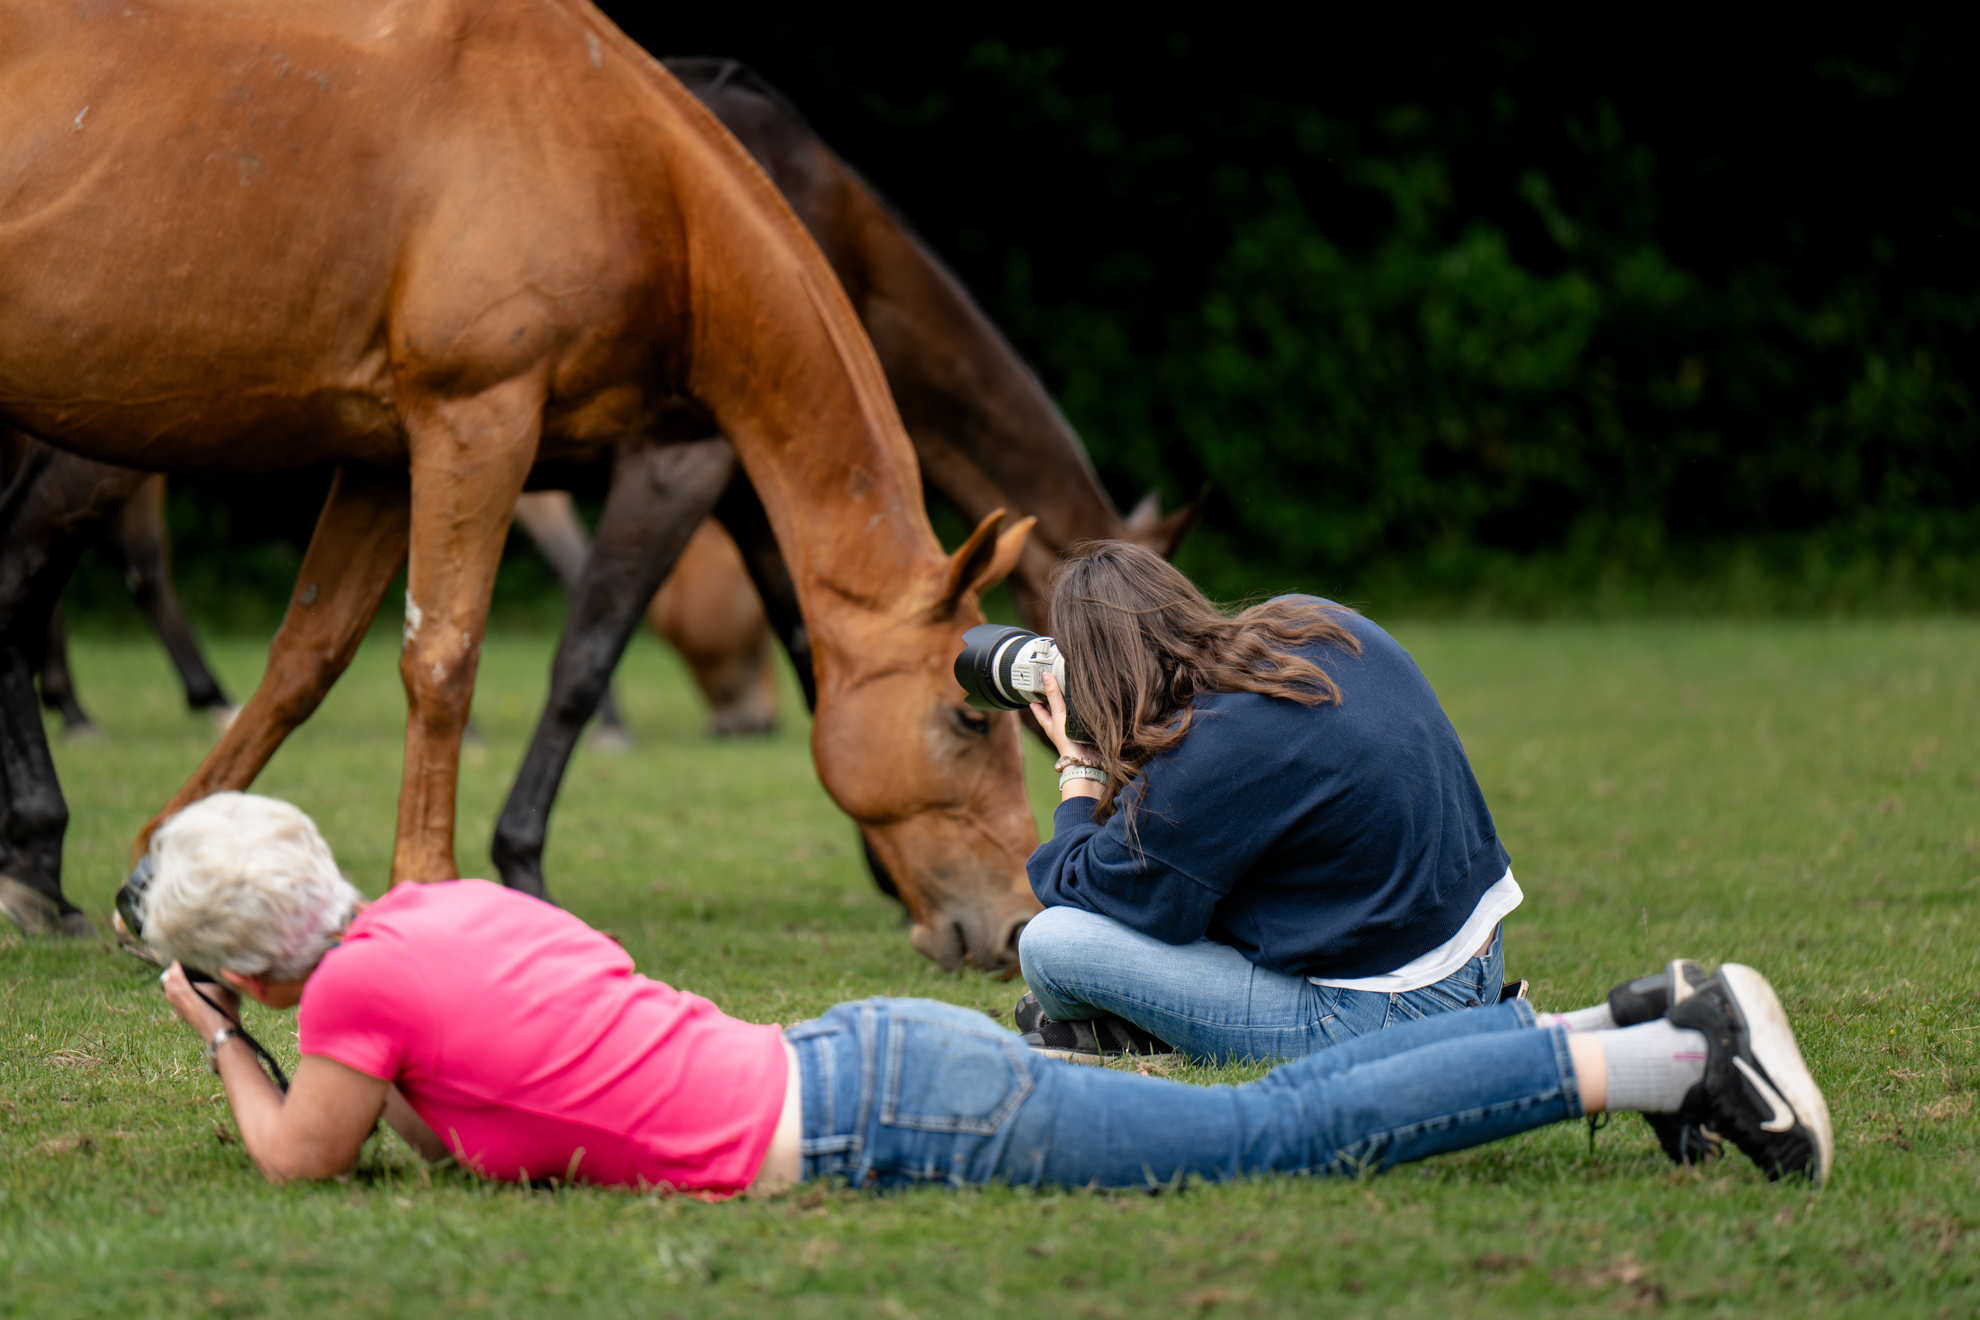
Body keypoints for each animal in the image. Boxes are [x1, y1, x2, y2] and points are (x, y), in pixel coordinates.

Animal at [0, 0, 1040, 969]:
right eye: (967, 719)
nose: (1018, 923)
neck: (614, 154)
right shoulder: (479, 423)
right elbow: (445, 659)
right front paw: (430, 885)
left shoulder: (383, 461)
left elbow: (305, 661)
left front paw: (155, 870)